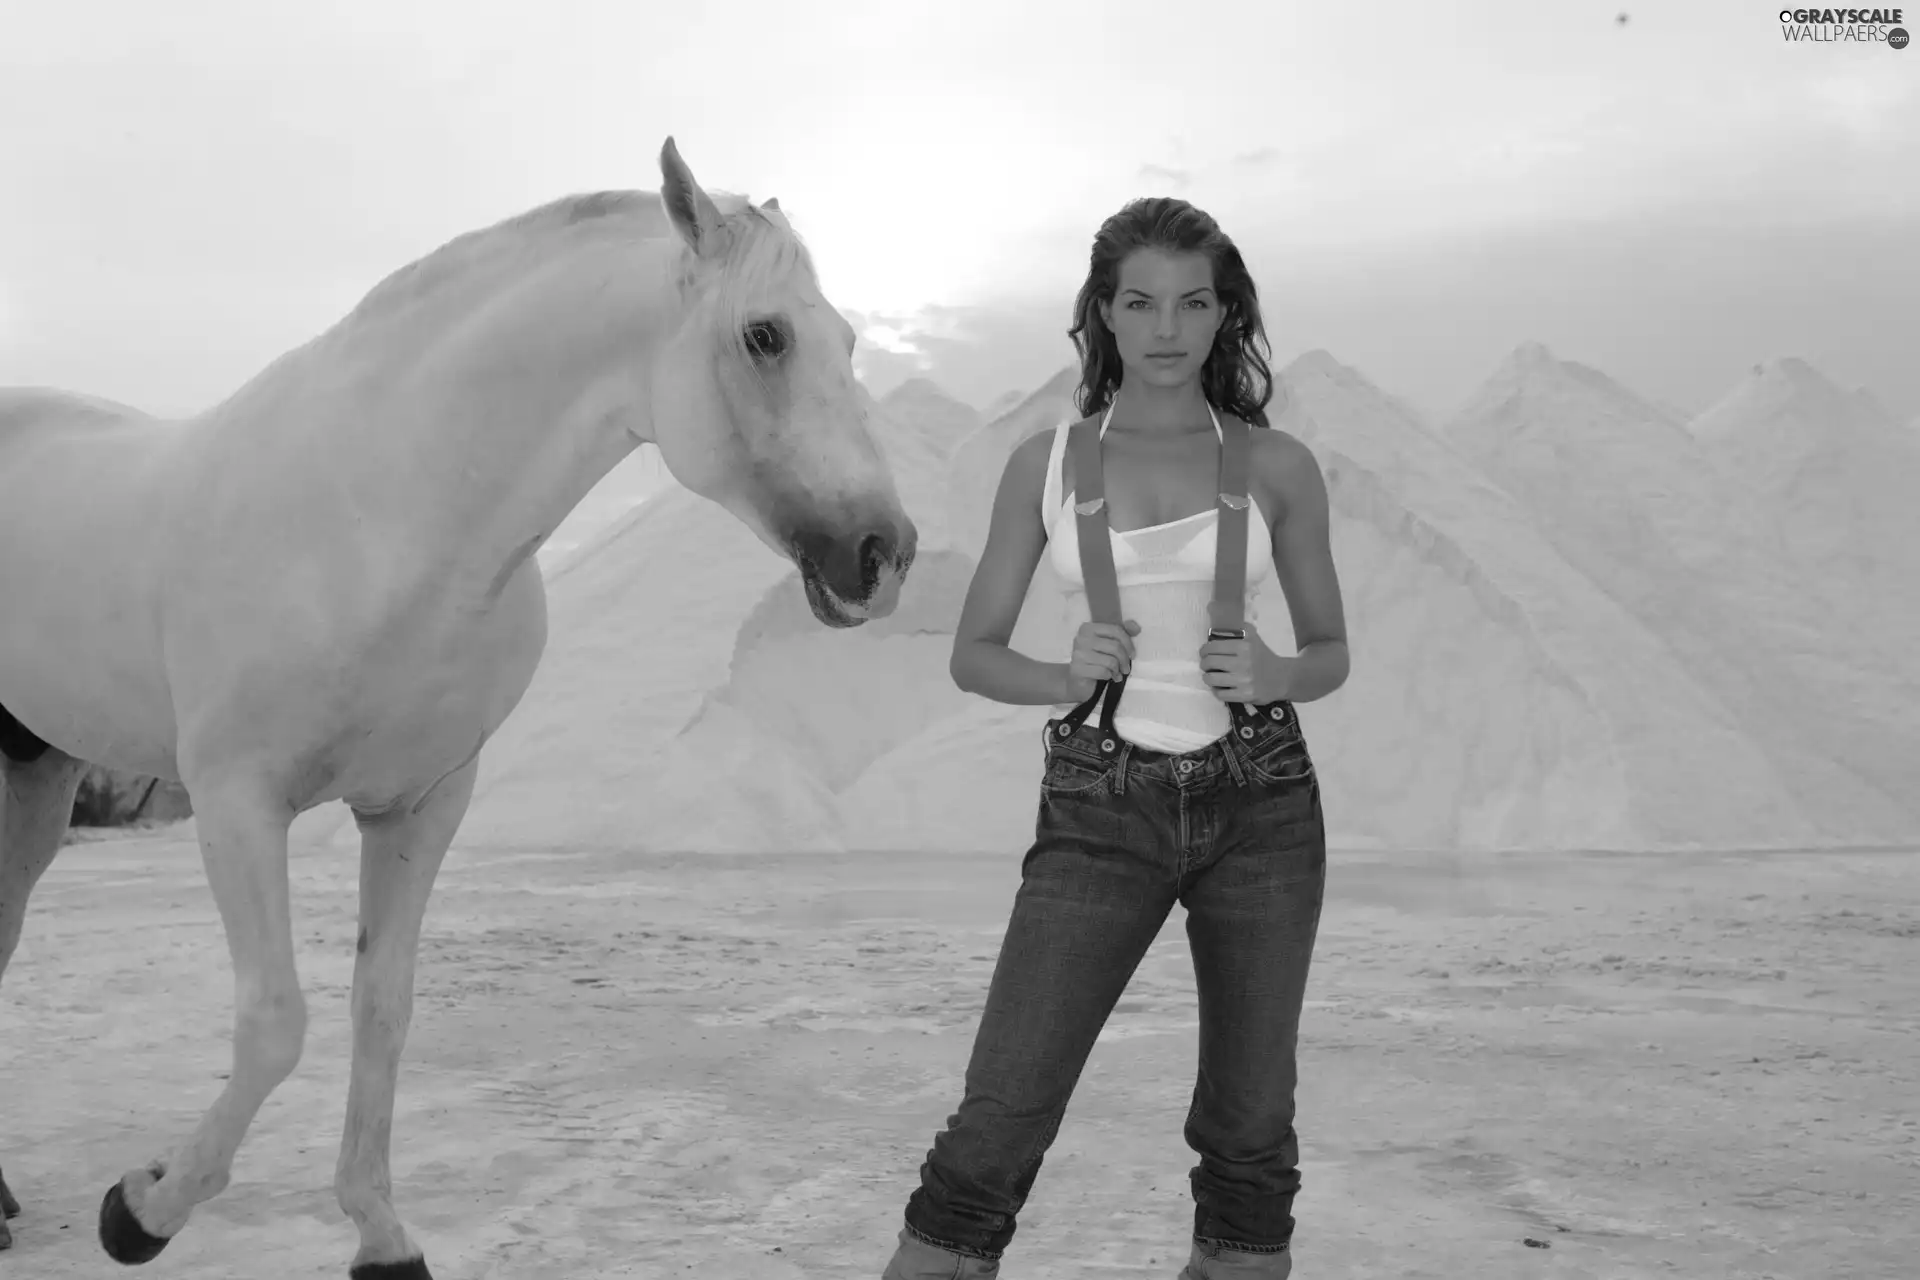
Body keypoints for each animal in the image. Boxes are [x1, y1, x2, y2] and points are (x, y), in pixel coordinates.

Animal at [0, 135, 917, 1274]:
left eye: (848, 338)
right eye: (767, 335)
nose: (885, 554)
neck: (385, 518)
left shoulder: (420, 805)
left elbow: (381, 1009)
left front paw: (380, 1232)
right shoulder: (236, 802)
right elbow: (276, 1021)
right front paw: (142, 1209)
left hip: (36, 775)